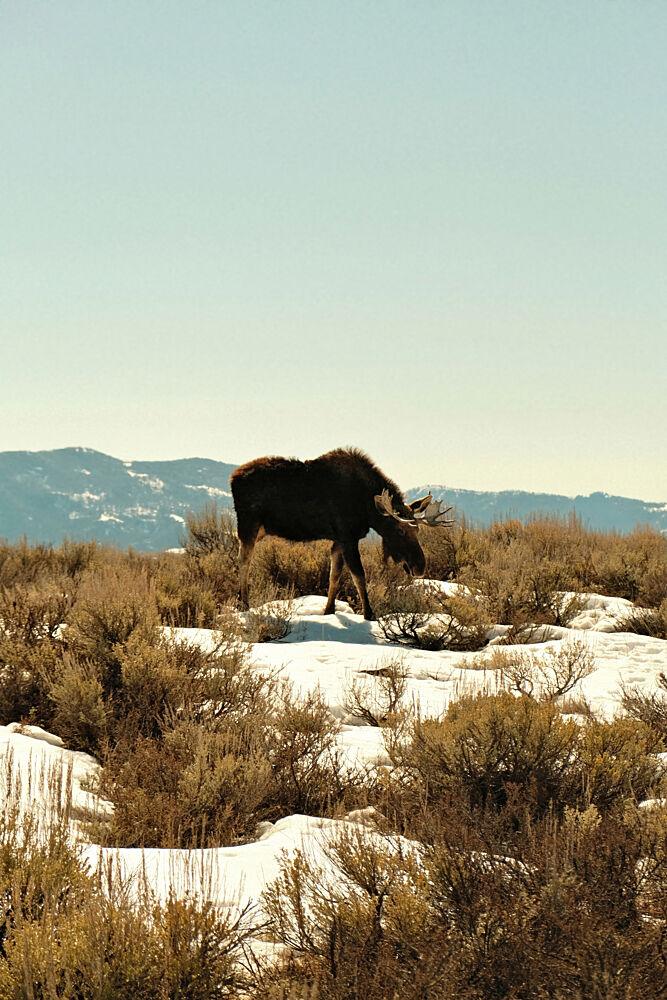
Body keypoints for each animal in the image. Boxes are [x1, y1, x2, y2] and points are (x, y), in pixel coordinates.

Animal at [230, 447, 452, 620]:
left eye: (417, 529)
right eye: (399, 530)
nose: (419, 567)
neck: (367, 509)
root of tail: (233, 477)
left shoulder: (338, 540)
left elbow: (334, 576)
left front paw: (328, 610)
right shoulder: (348, 537)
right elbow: (359, 575)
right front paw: (369, 614)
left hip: (260, 529)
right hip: (249, 524)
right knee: (244, 561)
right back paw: (244, 604)